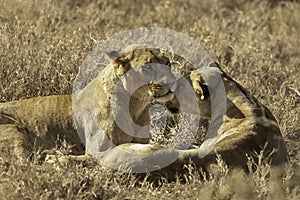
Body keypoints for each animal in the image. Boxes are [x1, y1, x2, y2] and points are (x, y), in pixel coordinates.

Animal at [1, 48, 290, 178]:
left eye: (168, 62)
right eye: (151, 66)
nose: (172, 80)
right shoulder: (96, 149)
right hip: (13, 130)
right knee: (24, 165)